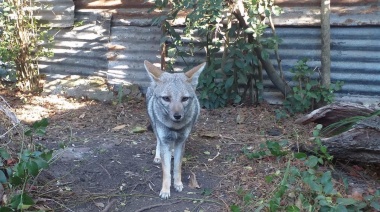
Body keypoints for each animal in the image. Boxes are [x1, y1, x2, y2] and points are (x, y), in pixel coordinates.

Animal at [143, 60, 208, 199]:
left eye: (184, 99)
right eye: (166, 98)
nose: (177, 116)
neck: (175, 128)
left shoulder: (181, 142)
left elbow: (177, 167)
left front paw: (178, 184)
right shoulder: (165, 140)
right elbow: (166, 170)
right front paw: (165, 190)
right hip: (155, 127)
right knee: (158, 141)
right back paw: (158, 156)